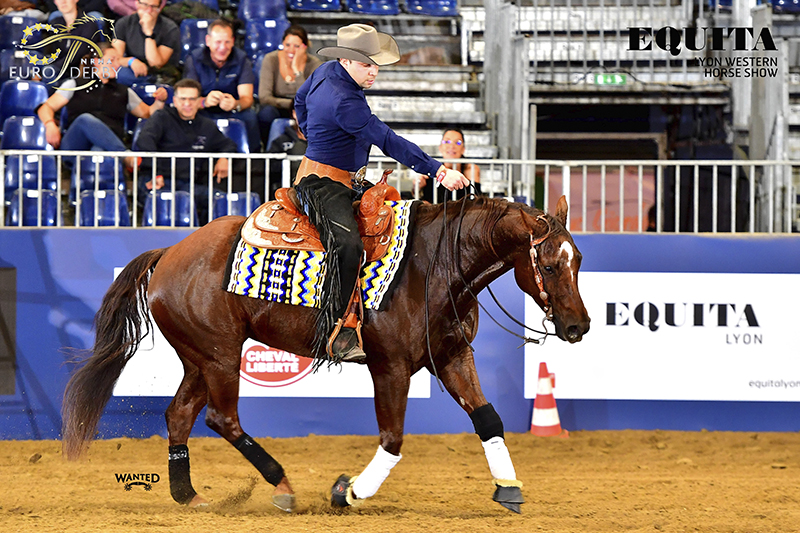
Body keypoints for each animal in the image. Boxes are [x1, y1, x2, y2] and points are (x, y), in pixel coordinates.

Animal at [62, 194, 588, 512]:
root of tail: (169, 252)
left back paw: (188, 495)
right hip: (220, 356)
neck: (436, 266)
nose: (578, 325)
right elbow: (392, 439)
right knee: (221, 418)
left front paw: (508, 488)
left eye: (578, 259)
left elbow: (488, 419)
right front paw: (349, 491)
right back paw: (282, 486)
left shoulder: (455, 357)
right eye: (548, 264)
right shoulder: (391, 367)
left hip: (199, 358)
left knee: (179, 415)